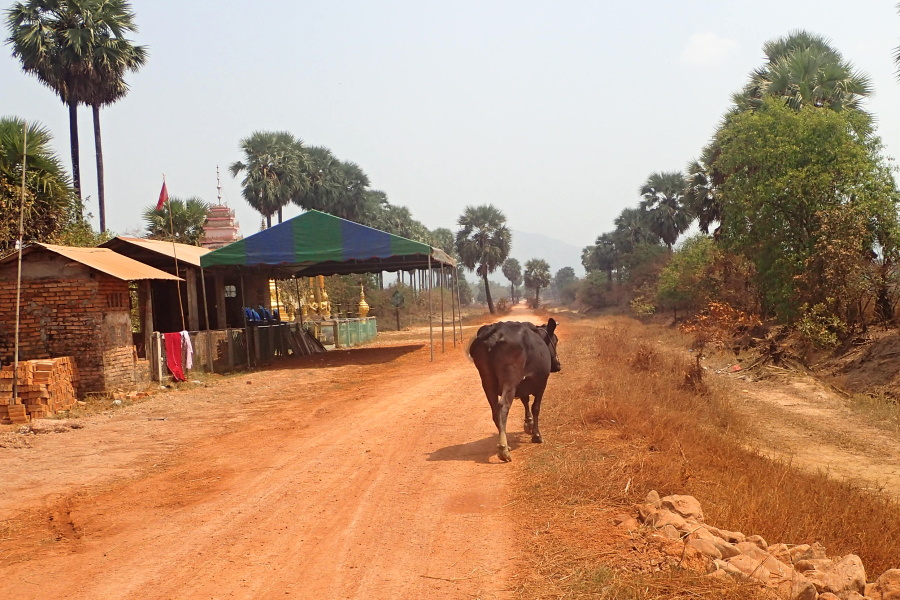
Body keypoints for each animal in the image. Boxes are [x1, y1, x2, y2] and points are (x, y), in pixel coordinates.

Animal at [468, 318, 560, 464]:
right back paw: (503, 449)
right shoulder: (541, 383)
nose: (558, 364)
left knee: (495, 410)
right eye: (555, 340)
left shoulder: (522, 386)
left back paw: (506, 444)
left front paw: (528, 423)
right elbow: (536, 408)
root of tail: (496, 333)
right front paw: (536, 435)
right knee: (503, 407)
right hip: (510, 381)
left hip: (487, 381)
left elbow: (525, 400)